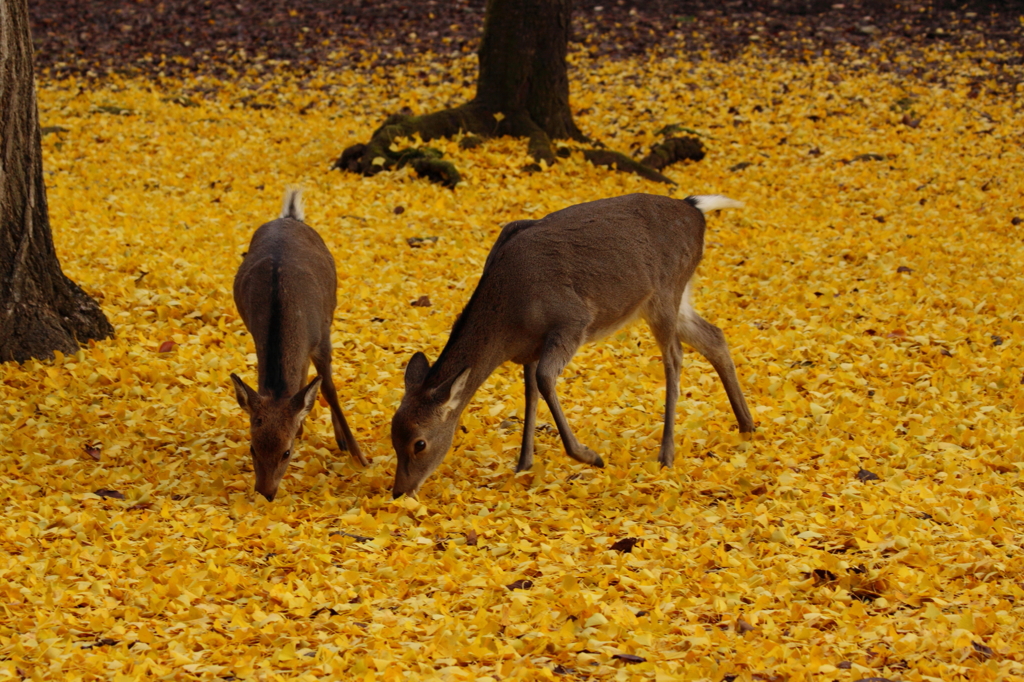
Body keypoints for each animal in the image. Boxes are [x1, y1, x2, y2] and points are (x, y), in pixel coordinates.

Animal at [229, 187, 368, 499]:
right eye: (252, 447)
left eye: (286, 452)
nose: (265, 492)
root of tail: (290, 216)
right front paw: (302, 423)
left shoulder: (322, 337)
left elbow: (329, 389)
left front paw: (360, 455)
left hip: (332, 308)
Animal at [389, 193, 753, 497]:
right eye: (393, 436)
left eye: (419, 443)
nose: (399, 492)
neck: (510, 323)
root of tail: (694, 208)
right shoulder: (529, 349)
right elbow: (530, 394)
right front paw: (523, 464)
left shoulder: (571, 322)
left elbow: (544, 379)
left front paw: (590, 456)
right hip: (674, 297)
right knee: (714, 336)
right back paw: (747, 425)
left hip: (665, 291)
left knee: (674, 357)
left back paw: (667, 453)